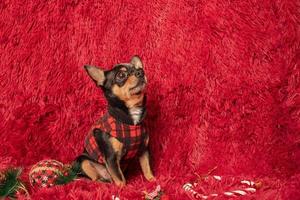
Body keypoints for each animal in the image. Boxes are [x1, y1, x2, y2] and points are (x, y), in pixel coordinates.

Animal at [76, 55, 155, 187]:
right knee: (96, 178)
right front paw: (123, 189)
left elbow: (146, 167)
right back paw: (102, 182)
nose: (141, 72)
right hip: (83, 161)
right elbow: (120, 179)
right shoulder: (111, 158)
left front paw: (153, 180)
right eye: (121, 75)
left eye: (139, 68)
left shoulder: (143, 149)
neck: (130, 120)